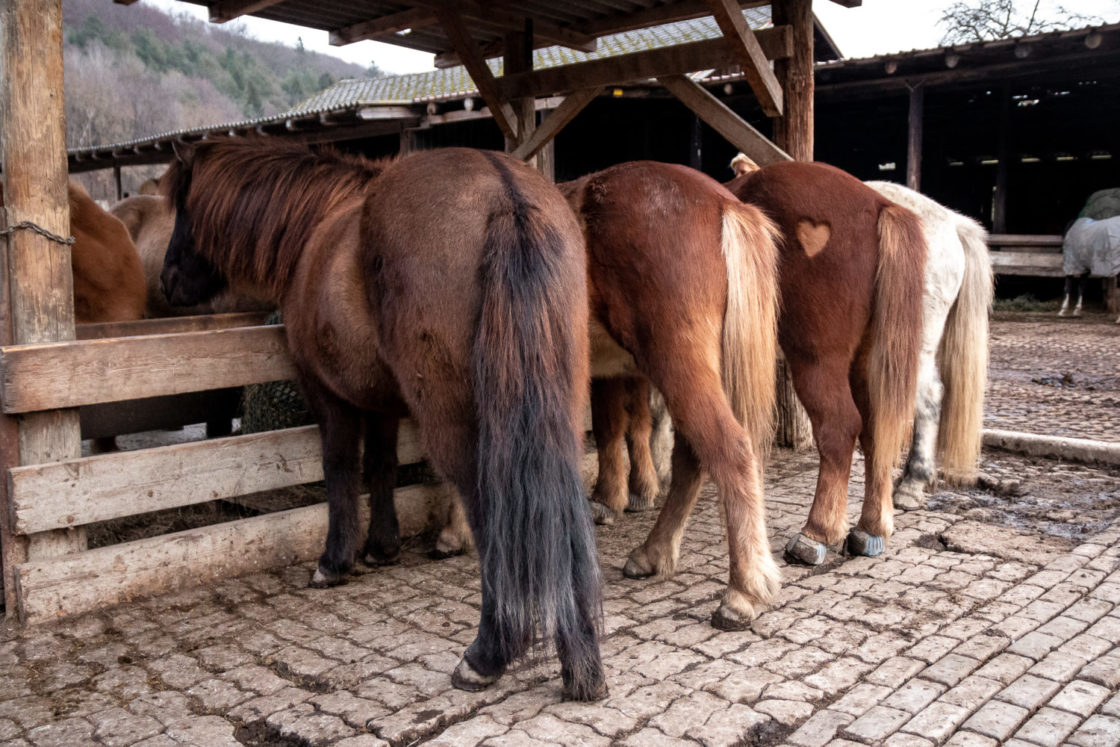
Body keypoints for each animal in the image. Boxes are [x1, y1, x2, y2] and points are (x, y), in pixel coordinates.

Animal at [157, 138, 604, 703]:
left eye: (183, 210)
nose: (166, 281)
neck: (316, 226)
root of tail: (506, 194)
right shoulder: (384, 402)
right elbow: (383, 465)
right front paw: (382, 547)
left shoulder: (327, 393)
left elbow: (342, 467)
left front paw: (336, 559)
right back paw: (582, 663)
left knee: (491, 512)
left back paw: (488, 653)